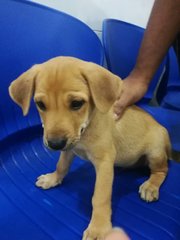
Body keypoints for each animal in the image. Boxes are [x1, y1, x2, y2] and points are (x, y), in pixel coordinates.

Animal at [9, 56, 173, 240]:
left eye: (76, 103)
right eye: (40, 104)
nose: (55, 144)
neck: (85, 129)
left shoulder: (104, 162)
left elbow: (100, 197)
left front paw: (98, 228)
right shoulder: (69, 149)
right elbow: (61, 166)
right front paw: (52, 178)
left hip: (155, 152)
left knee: (162, 170)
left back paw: (151, 186)